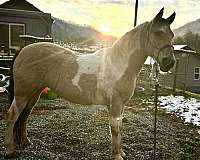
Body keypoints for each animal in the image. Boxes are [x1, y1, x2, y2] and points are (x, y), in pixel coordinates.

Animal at [4, 7, 176, 160]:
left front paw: (121, 152)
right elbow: (115, 129)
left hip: (34, 93)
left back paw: (25, 142)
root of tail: (24, 49)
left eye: (172, 35)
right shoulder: (115, 104)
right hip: (22, 94)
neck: (118, 63)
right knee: (13, 115)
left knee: (24, 116)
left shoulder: (121, 105)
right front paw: (117, 155)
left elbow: (120, 127)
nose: (169, 62)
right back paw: (10, 150)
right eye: (158, 33)